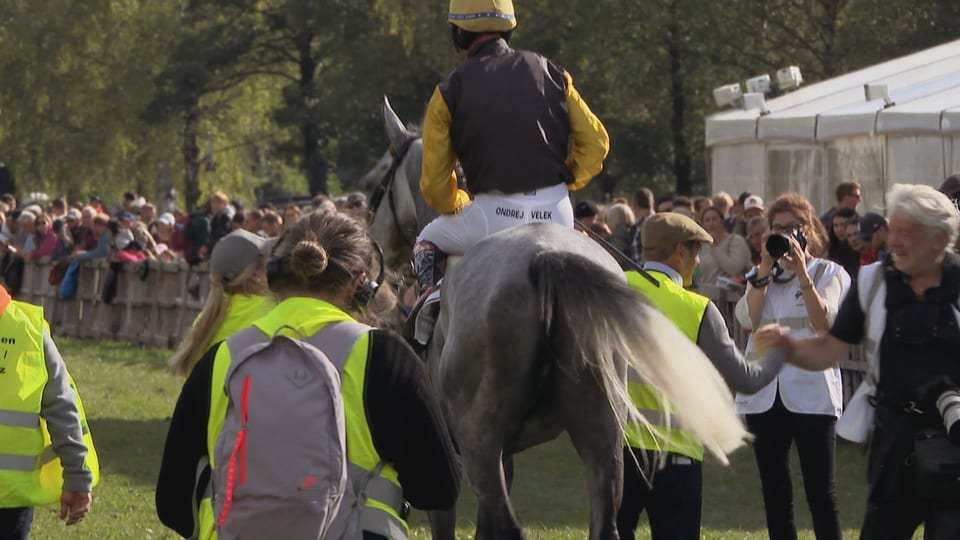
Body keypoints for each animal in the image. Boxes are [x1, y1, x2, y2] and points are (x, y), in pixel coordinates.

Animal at [368, 98, 752, 540]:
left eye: (377, 177)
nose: (374, 244)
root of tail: (546, 256)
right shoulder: (508, 454)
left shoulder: (448, 451)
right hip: (603, 434)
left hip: (482, 438)